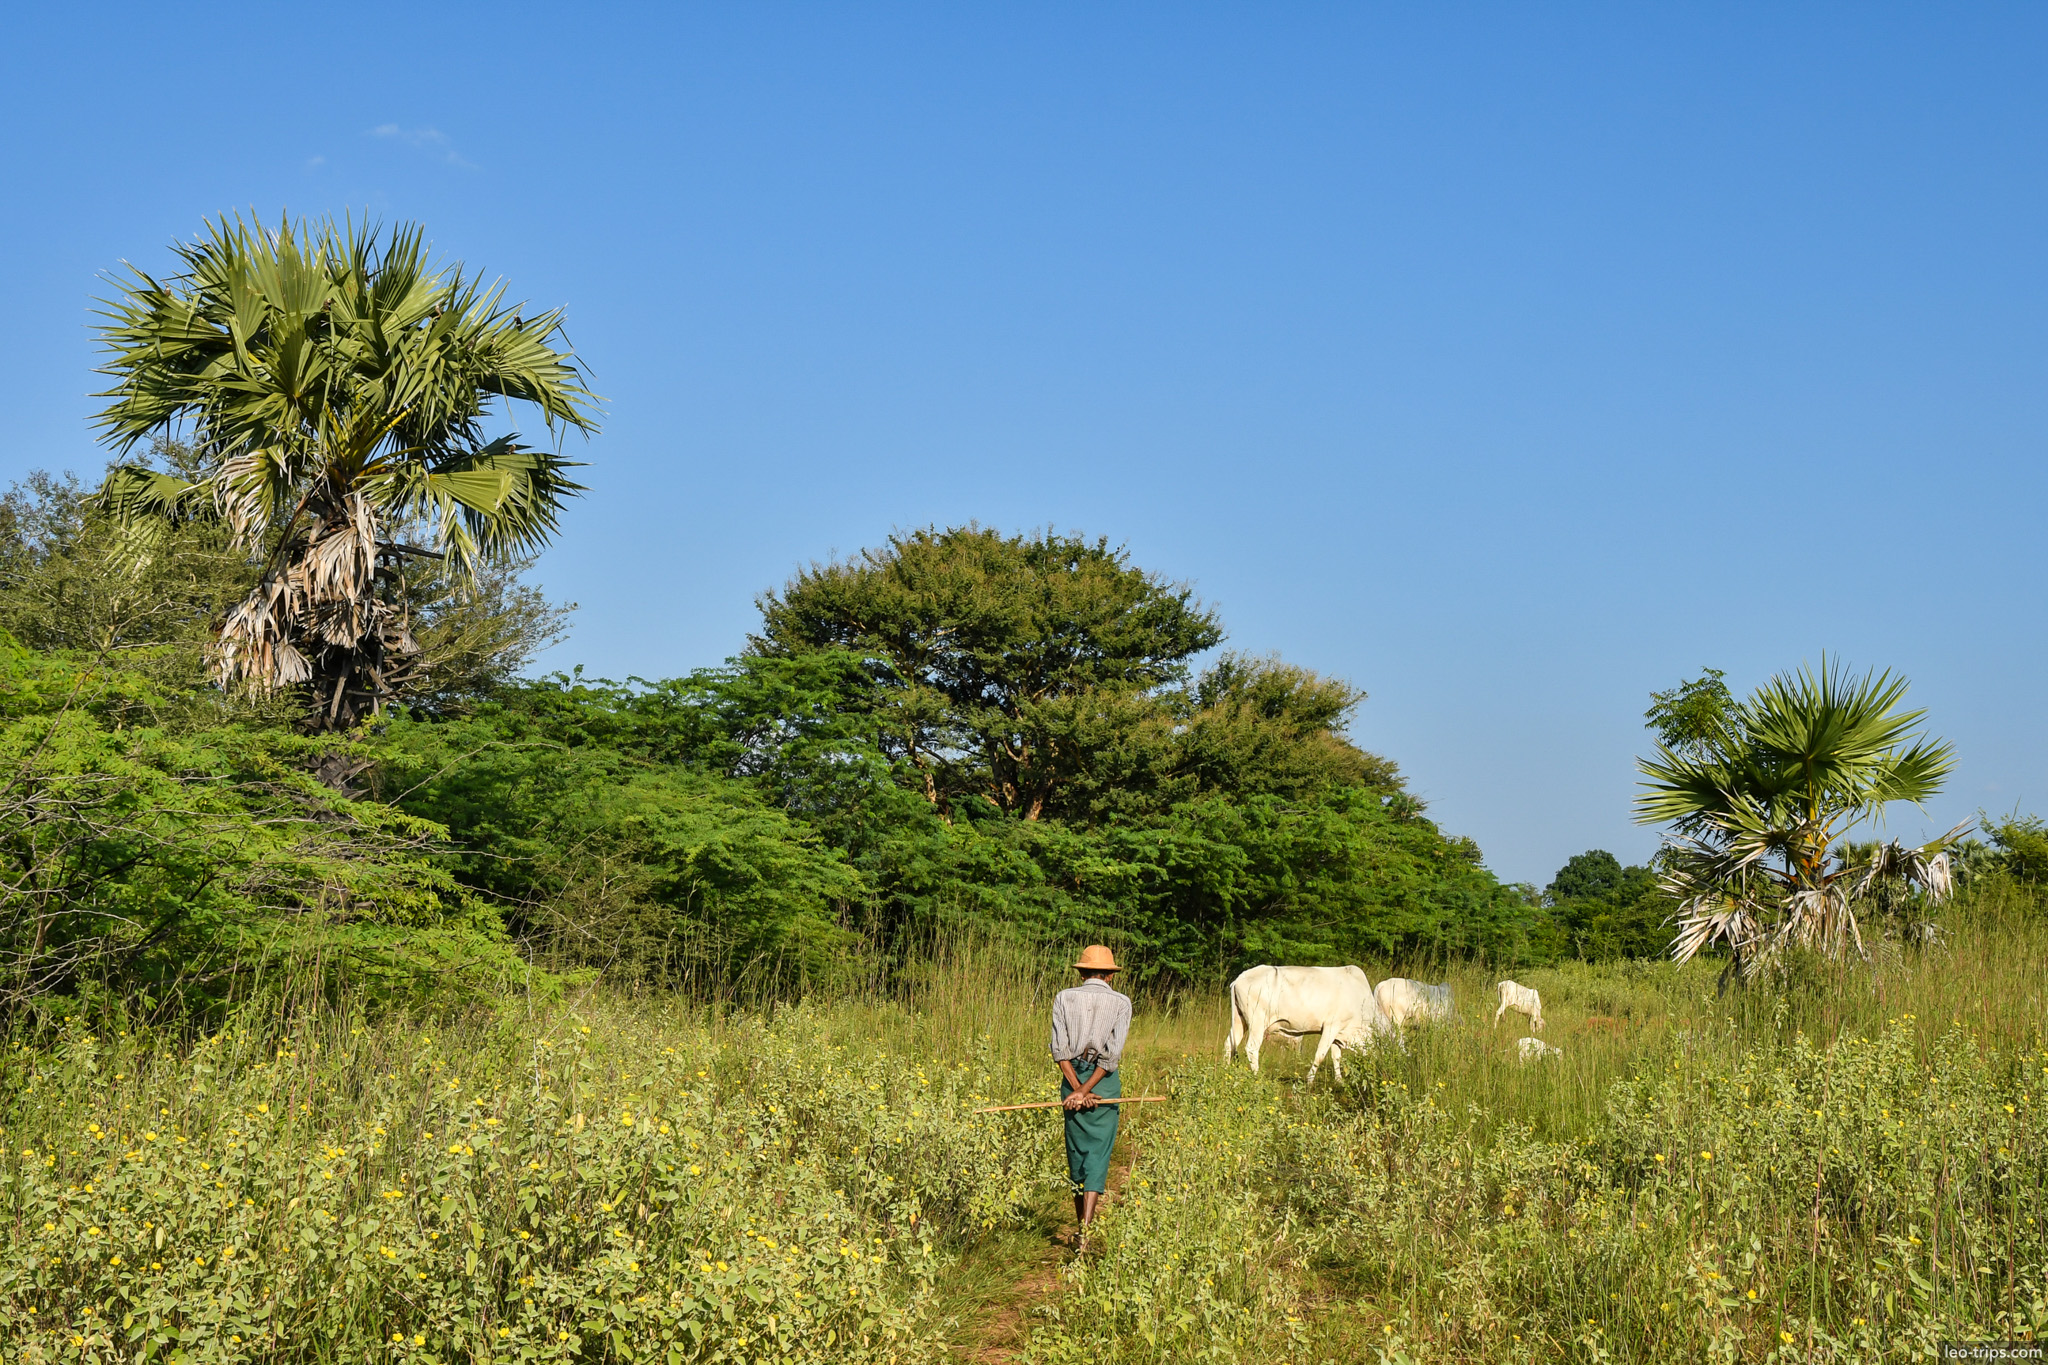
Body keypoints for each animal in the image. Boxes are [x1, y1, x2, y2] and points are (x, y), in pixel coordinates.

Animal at [1225, 964, 1391, 1085]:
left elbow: (1336, 1057)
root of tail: (1239, 979)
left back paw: (1225, 1071)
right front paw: (1309, 1080)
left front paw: (1339, 1081)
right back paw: (1257, 1077)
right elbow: (1320, 1055)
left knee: (1229, 1044)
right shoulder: (1331, 1026)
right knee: (1251, 1048)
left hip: (1240, 1021)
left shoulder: (1338, 1033)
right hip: (1257, 1022)